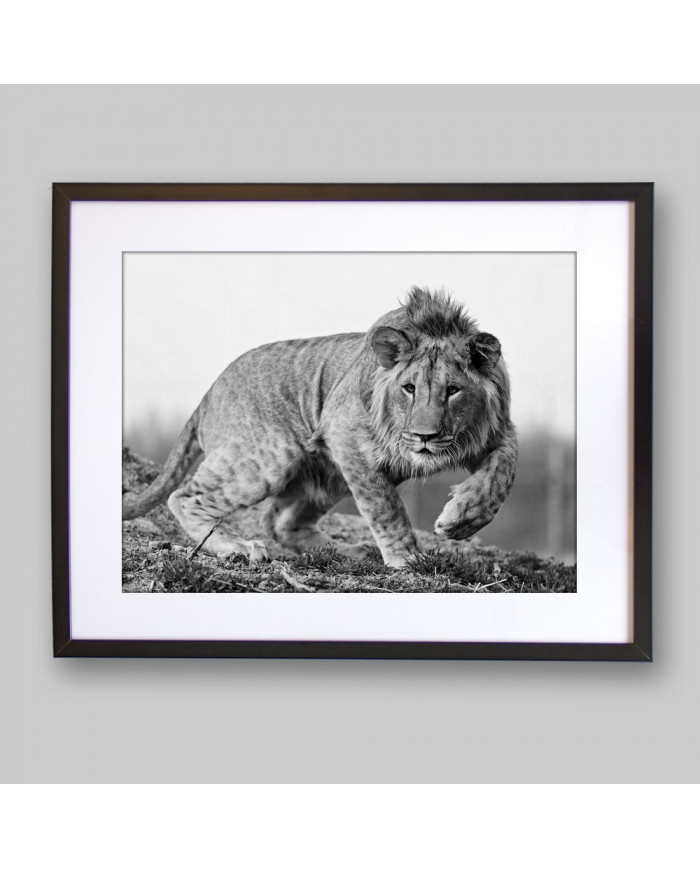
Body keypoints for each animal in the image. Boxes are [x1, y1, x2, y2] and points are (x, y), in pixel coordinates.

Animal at [123, 287, 518, 567]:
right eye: (409, 388)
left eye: (453, 390)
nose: (425, 437)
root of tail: (208, 394)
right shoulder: (347, 437)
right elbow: (385, 507)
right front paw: (406, 557)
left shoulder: (498, 431)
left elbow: (502, 475)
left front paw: (461, 519)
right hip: (269, 460)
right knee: (186, 497)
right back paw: (238, 547)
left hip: (327, 476)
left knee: (281, 522)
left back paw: (350, 550)